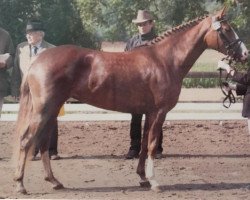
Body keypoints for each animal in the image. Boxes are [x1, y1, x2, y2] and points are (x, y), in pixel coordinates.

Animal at [14, 8, 248, 194]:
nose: (245, 53)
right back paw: (20, 185)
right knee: (26, 141)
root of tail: (38, 60)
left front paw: (143, 177)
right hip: (44, 110)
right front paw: (154, 182)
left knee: (43, 143)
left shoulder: (148, 113)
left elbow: (144, 145)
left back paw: (54, 182)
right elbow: (152, 145)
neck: (164, 60)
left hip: (52, 110)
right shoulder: (159, 112)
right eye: (226, 29)